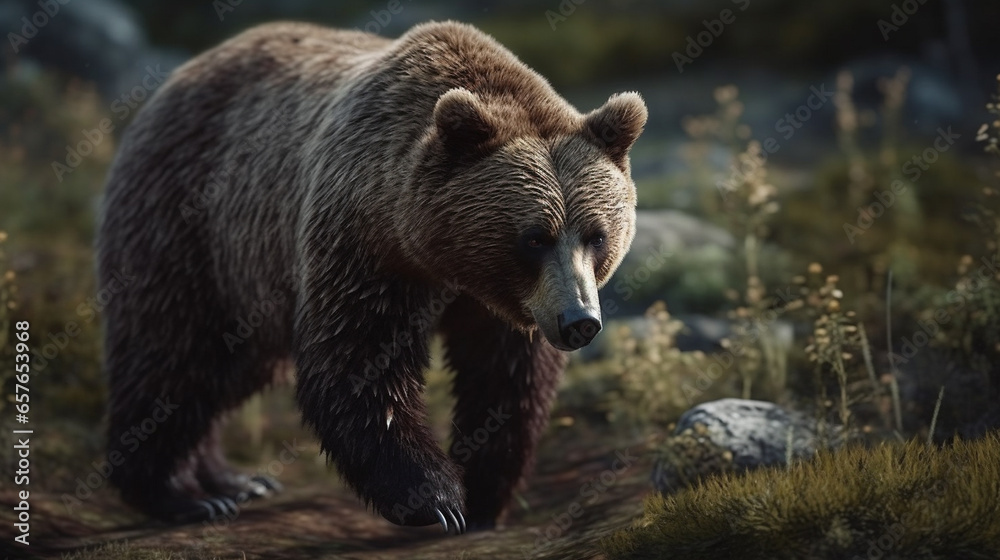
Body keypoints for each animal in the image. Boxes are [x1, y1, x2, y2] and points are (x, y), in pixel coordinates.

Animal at [97, 20, 646, 533]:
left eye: (596, 235)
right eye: (535, 237)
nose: (580, 320)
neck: (444, 258)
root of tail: (180, 76)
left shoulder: (507, 305)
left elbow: (506, 380)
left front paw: (485, 494)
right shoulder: (364, 245)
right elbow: (360, 363)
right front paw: (437, 500)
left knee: (232, 368)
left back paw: (232, 480)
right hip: (193, 226)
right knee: (173, 352)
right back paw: (181, 494)